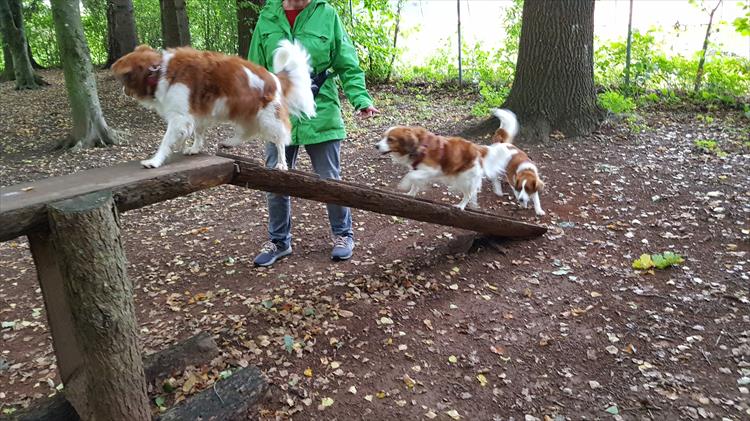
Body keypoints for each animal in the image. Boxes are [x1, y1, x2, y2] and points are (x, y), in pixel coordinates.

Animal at [111, 41, 315, 169]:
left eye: (123, 80)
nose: (122, 90)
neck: (159, 71)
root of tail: (275, 78)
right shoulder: (197, 113)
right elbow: (198, 133)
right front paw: (194, 148)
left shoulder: (179, 117)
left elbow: (165, 141)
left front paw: (154, 161)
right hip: (244, 112)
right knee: (247, 132)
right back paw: (229, 142)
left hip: (268, 118)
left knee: (280, 140)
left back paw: (281, 163)